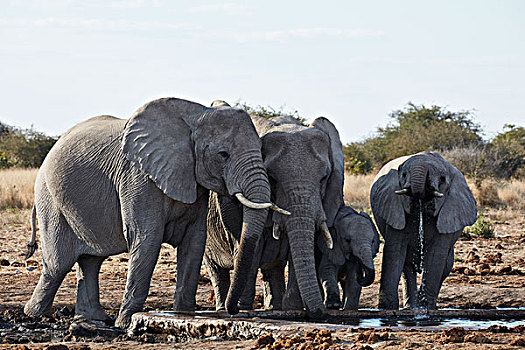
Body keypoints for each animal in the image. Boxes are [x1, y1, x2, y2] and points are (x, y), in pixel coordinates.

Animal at [24, 98, 286, 328]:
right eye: (223, 155)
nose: (233, 310)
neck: (196, 115)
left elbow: (194, 242)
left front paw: (183, 316)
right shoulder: (138, 177)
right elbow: (147, 238)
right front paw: (125, 323)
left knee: (90, 262)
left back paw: (93, 319)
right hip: (50, 198)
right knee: (58, 265)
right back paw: (35, 315)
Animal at [203, 106, 346, 318]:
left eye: (324, 178)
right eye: (271, 178)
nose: (322, 312)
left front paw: (292, 308)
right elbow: (251, 248)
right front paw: (243, 308)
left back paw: (274, 307)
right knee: (216, 269)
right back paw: (223, 307)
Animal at [368, 152, 474, 310]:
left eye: (442, 179)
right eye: (403, 175)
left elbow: (436, 255)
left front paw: (425, 308)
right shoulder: (395, 208)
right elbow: (395, 251)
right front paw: (386, 308)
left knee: (445, 266)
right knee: (406, 267)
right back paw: (411, 307)